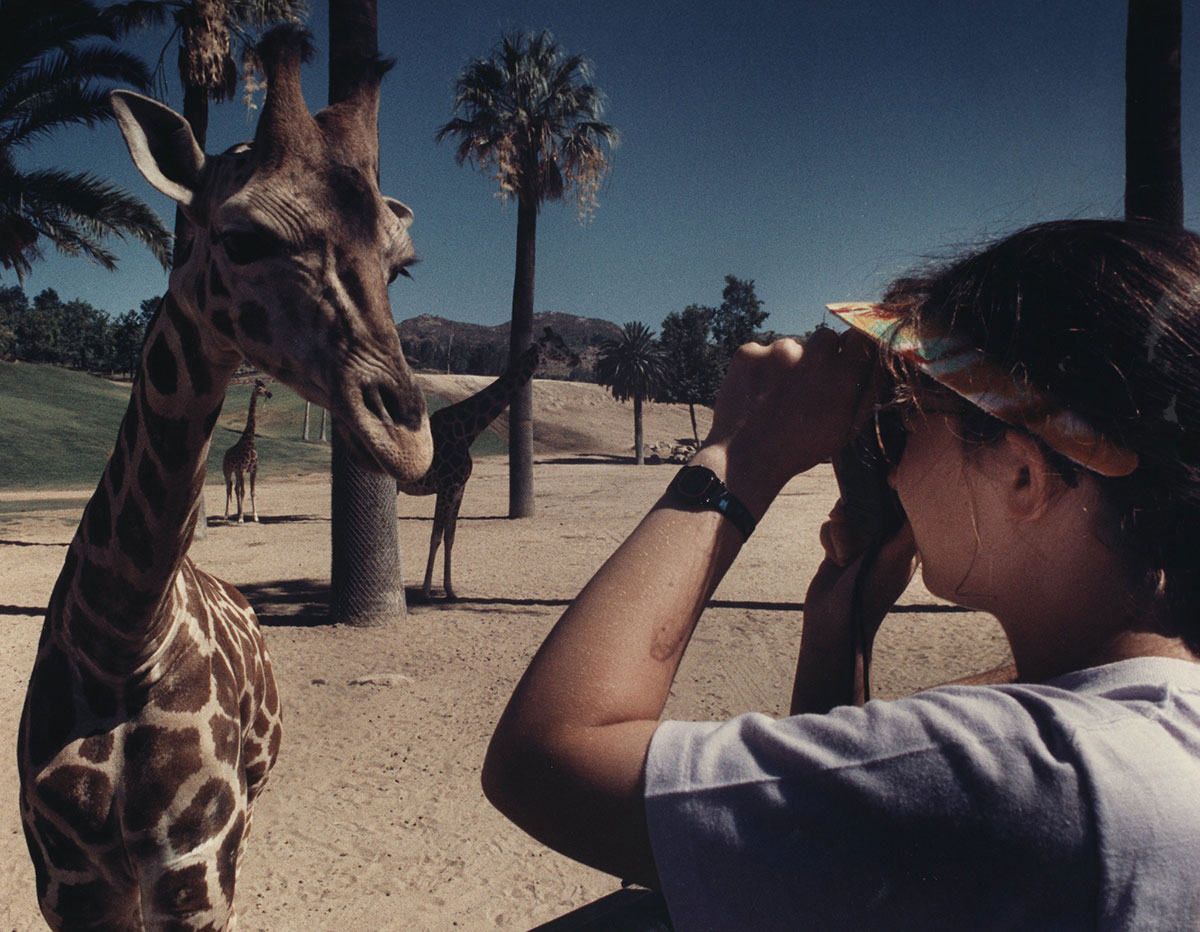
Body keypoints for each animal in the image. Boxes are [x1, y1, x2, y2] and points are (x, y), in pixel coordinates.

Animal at [223, 379, 272, 522]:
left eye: (265, 387)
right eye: (259, 389)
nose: (270, 394)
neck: (249, 444)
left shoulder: (253, 470)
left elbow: (252, 492)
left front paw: (254, 516)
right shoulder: (243, 470)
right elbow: (244, 492)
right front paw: (240, 518)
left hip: (236, 472)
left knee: (235, 488)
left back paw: (238, 512)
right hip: (227, 471)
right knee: (228, 488)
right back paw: (226, 514)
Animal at [398, 326, 576, 604]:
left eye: (563, 342)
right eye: (557, 346)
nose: (576, 359)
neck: (467, 430)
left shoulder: (459, 487)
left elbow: (450, 536)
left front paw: (450, 591)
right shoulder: (446, 486)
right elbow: (435, 536)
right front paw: (427, 592)